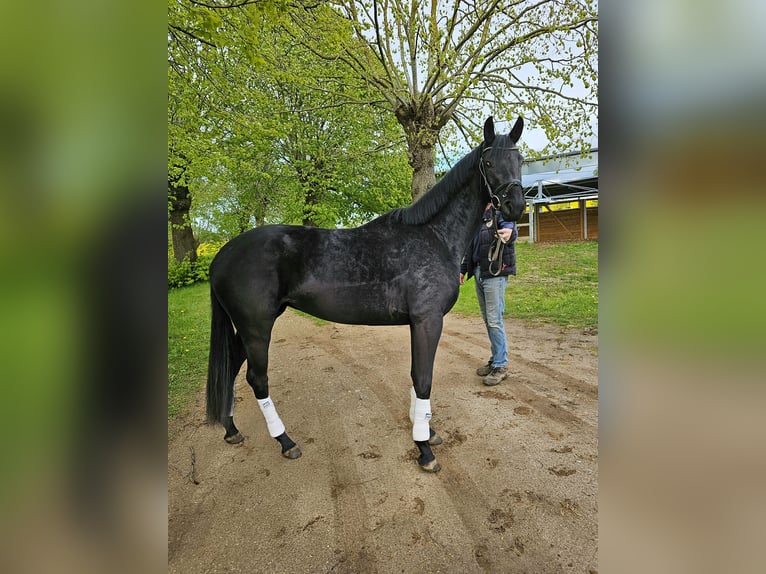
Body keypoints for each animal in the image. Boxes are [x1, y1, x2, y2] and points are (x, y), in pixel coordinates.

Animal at [207, 116, 524, 472]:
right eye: (488, 163)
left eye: (520, 160)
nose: (515, 206)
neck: (433, 236)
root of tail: (222, 256)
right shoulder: (428, 321)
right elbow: (424, 379)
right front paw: (424, 450)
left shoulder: (418, 323)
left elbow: (415, 376)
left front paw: (428, 431)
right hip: (257, 328)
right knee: (257, 379)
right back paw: (286, 442)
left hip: (249, 328)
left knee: (231, 367)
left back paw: (231, 430)